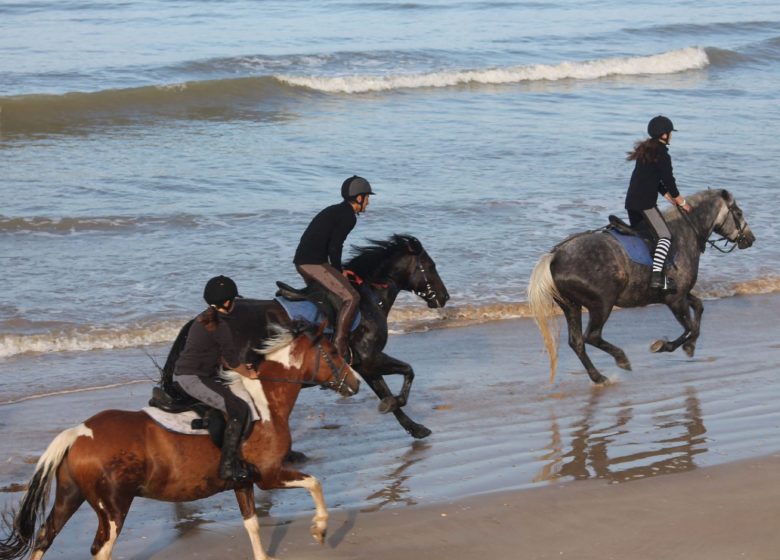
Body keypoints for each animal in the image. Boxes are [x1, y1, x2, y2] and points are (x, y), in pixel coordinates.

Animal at [0, 324, 360, 560]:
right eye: (333, 352)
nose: (355, 383)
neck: (265, 401)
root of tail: (79, 431)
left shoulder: (243, 482)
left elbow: (253, 526)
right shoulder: (270, 476)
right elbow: (314, 483)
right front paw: (320, 529)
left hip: (70, 497)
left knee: (44, 538)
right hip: (113, 508)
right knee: (99, 549)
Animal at [165, 234, 450, 440]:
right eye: (430, 266)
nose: (444, 297)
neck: (370, 297)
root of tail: (199, 322)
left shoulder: (364, 365)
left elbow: (385, 390)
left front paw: (414, 427)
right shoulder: (370, 359)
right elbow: (407, 372)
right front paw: (396, 407)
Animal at [528, 189, 752, 384]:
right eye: (738, 213)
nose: (750, 238)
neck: (685, 232)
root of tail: (555, 256)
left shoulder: (678, 293)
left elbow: (698, 310)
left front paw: (690, 346)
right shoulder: (675, 299)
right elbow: (690, 326)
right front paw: (663, 345)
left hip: (571, 306)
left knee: (577, 342)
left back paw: (598, 377)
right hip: (602, 304)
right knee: (591, 336)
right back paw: (621, 359)